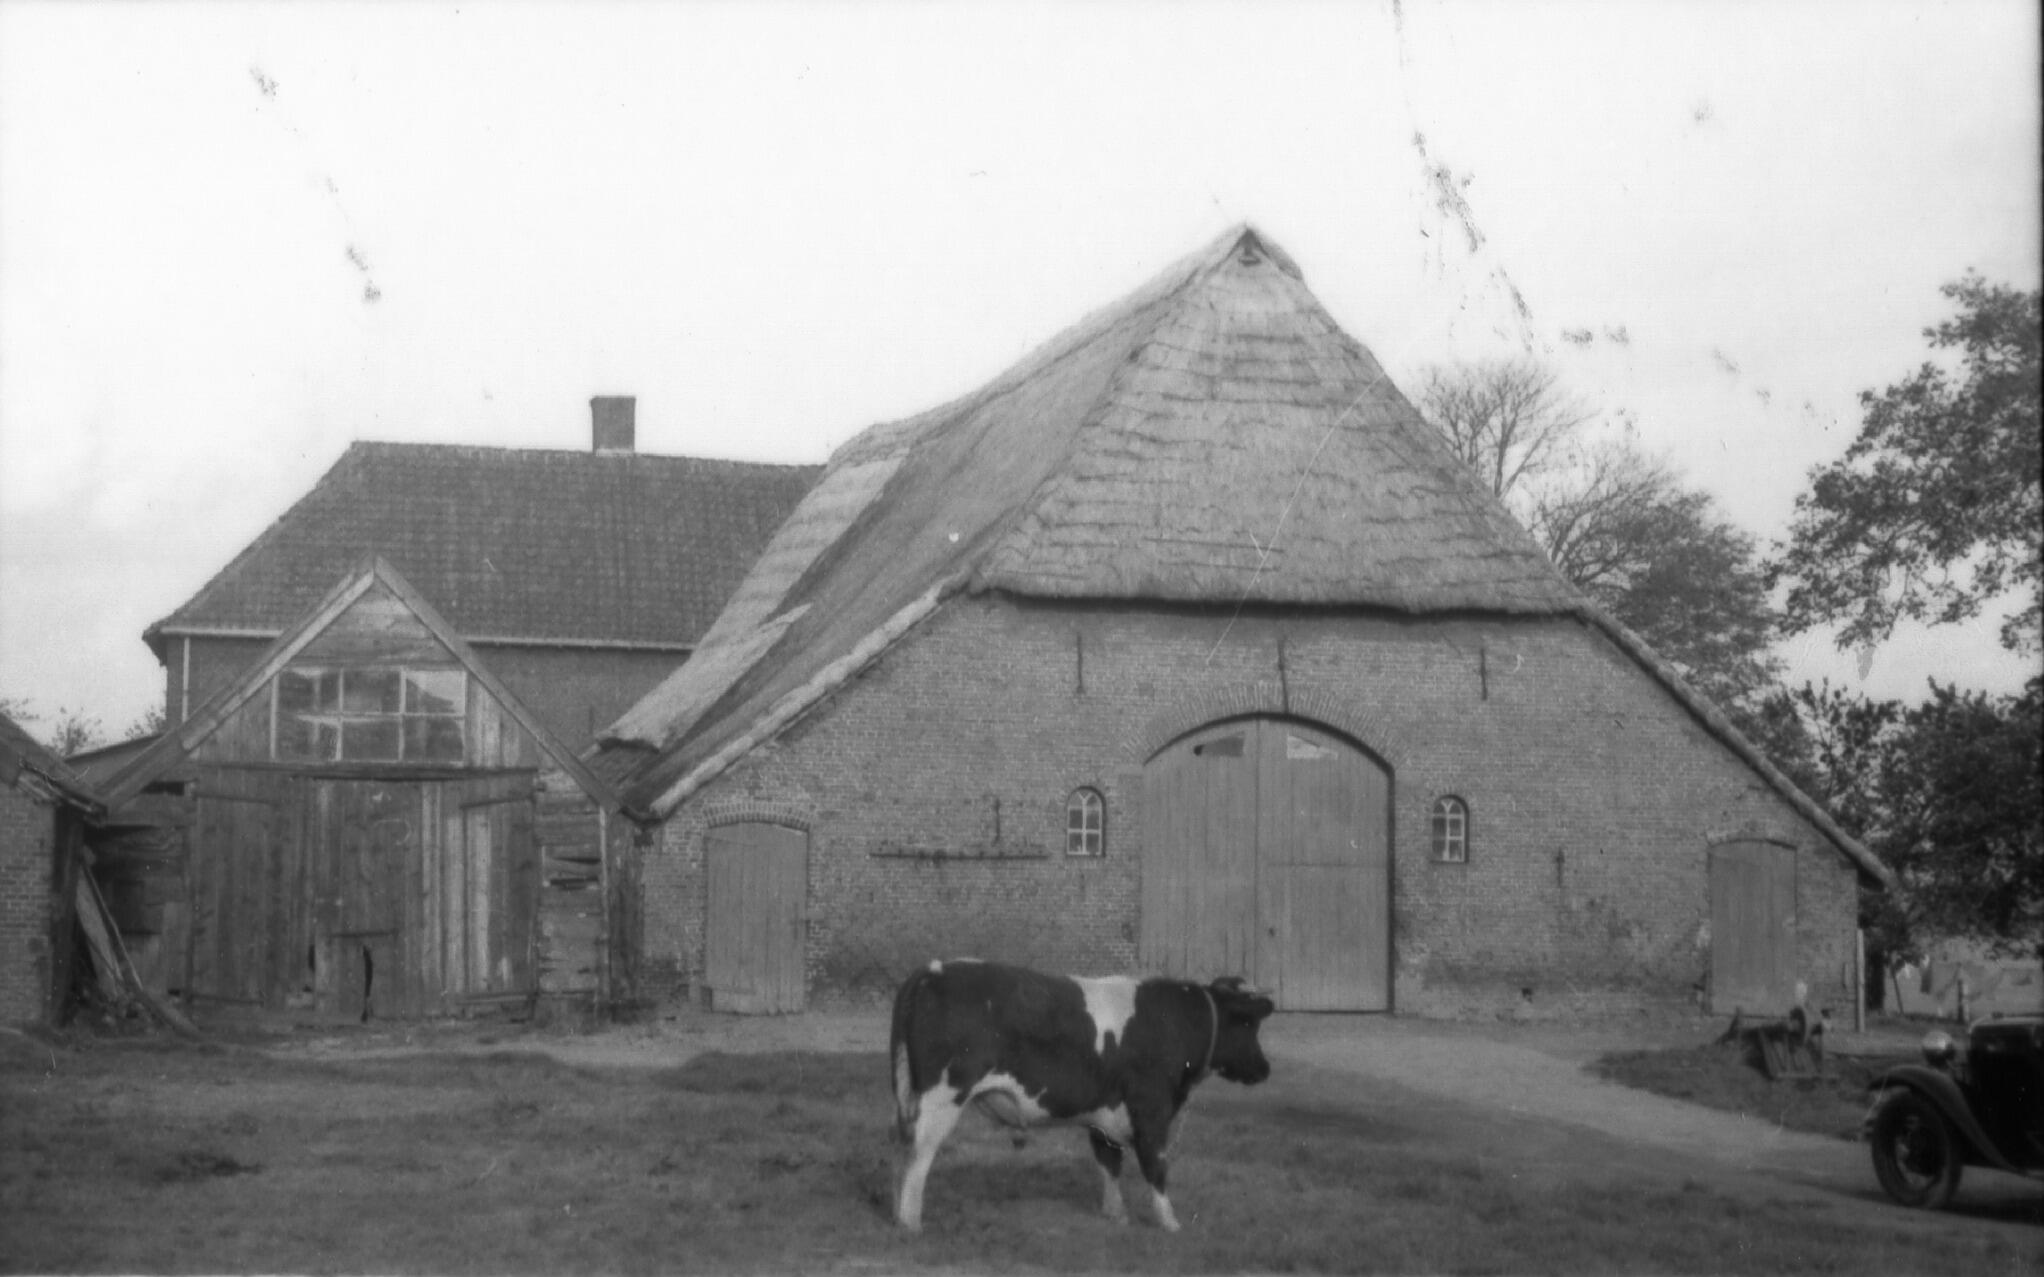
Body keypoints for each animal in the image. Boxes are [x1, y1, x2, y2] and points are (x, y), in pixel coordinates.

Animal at [889, 958, 1276, 1233]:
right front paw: (1170, 1223)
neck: (1173, 1022)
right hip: (941, 1098)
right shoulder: (1151, 1111)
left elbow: (1109, 1162)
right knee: (919, 1155)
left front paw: (1115, 1215)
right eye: (1247, 1024)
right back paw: (911, 1222)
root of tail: (932, 969)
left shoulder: (1105, 1112)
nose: (1264, 1067)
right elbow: (1155, 1166)